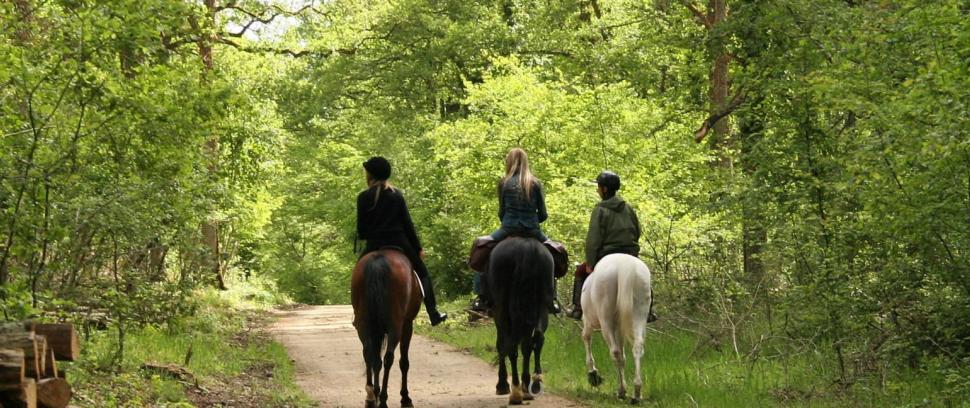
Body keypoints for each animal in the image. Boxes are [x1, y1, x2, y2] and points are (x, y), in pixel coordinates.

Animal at [352, 249, 420, 408]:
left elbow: (375, 360)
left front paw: (374, 393)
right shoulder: (407, 325)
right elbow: (404, 362)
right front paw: (405, 398)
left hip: (364, 325)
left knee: (369, 355)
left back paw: (371, 397)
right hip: (395, 327)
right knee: (389, 358)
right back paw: (383, 399)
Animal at [484, 236, 552, 404]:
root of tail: (528, 249)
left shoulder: (498, 315)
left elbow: (501, 345)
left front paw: (502, 385)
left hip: (503, 311)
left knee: (512, 346)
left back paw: (515, 391)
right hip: (543, 304)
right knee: (535, 339)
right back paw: (532, 384)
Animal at [584, 253, 652, 404]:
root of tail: (624, 264)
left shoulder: (587, 321)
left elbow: (586, 339)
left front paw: (593, 374)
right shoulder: (620, 329)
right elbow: (624, 356)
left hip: (606, 320)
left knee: (615, 352)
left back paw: (622, 390)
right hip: (639, 314)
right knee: (637, 348)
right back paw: (636, 392)